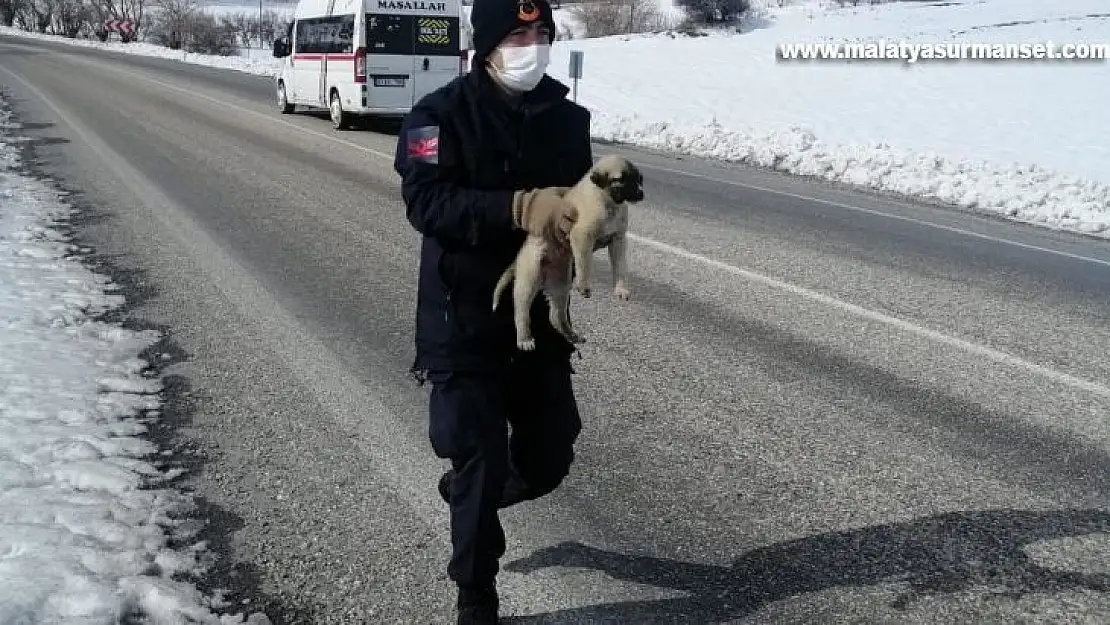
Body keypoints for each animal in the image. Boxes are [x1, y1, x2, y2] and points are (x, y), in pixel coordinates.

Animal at [492, 155, 648, 353]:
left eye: (639, 179)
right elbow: (585, 263)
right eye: (620, 179)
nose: (641, 194)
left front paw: (621, 289)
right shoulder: (581, 236)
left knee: (556, 316)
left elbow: (620, 267)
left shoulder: (618, 241)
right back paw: (524, 339)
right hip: (529, 279)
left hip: (560, 285)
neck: (608, 202)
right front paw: (584, 285)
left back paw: (571, 334)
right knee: (521, 312)